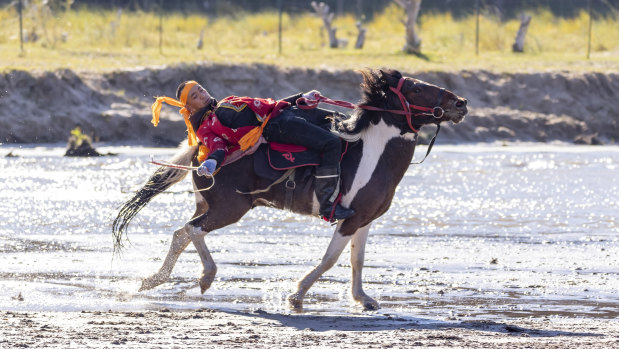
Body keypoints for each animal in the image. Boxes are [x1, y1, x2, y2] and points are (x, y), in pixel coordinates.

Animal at [112, 68, 470, 310]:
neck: (370, 152)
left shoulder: (364, 219)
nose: (462, 102)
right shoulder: (349, 218)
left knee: (180, 233)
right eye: (417, 87)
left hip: (209, 205)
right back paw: (206, 277)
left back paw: (153, 280)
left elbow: (357, 260)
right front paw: (296, 295)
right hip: (230, 209)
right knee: (192, 230)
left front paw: (362, 298)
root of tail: (204, 153)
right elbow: (330, 259)